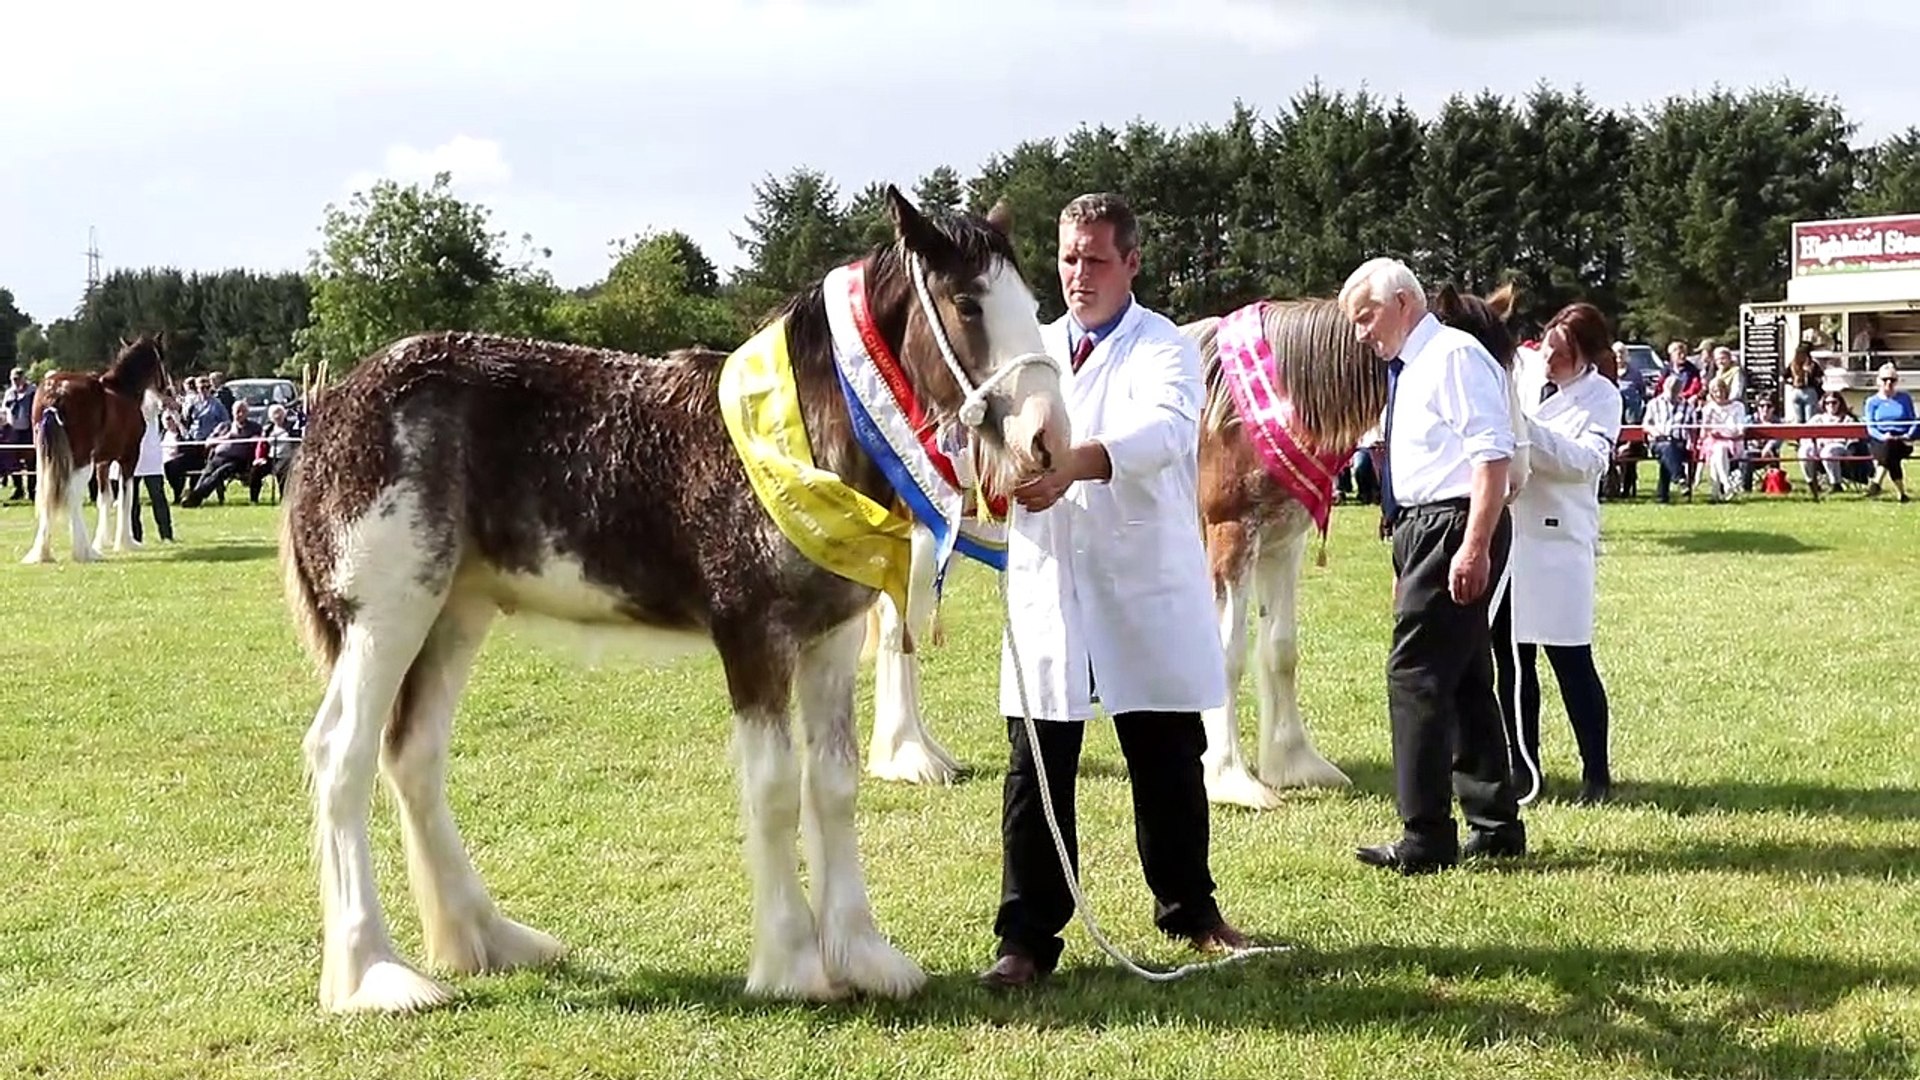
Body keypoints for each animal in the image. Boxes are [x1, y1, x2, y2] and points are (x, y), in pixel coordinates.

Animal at [20, 332, 172, 557]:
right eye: (162, 358)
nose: (167, 390)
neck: (123, 389)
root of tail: (56, 393)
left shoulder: (103, 462)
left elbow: (104, 499)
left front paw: (102, 541)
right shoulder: (129, 457)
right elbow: (126, 497)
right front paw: (126, 542)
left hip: (46, 458)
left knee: (47, 494)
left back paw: (44, 553)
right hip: (81, 460)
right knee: (72, 495)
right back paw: (85, 552)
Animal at [278, 191, 1075, 1006]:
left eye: (1032, 302)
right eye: (967, 303)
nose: (1048, 439)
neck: (798, 441)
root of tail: (332, 408)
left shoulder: (830, 641)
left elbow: (833, 784)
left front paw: (862, 955)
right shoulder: (753, 639)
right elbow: (775, 787)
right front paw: (792, 966)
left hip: (454, 615)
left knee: (414, 756)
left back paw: (488, 939)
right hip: (387, 618)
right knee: (342, 755)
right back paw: (373, 975)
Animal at [864, 282, 1520, 803]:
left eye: (1507, 367)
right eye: (1467, 374)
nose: (1511, 476)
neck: (1264, 404)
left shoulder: (1281, 546)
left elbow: (1281, 652)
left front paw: (1294, 764)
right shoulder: (1230, 541)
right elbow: (1227, 656)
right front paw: (1231, 777)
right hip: (922, 539)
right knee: (900, 633)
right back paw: (907, 757)